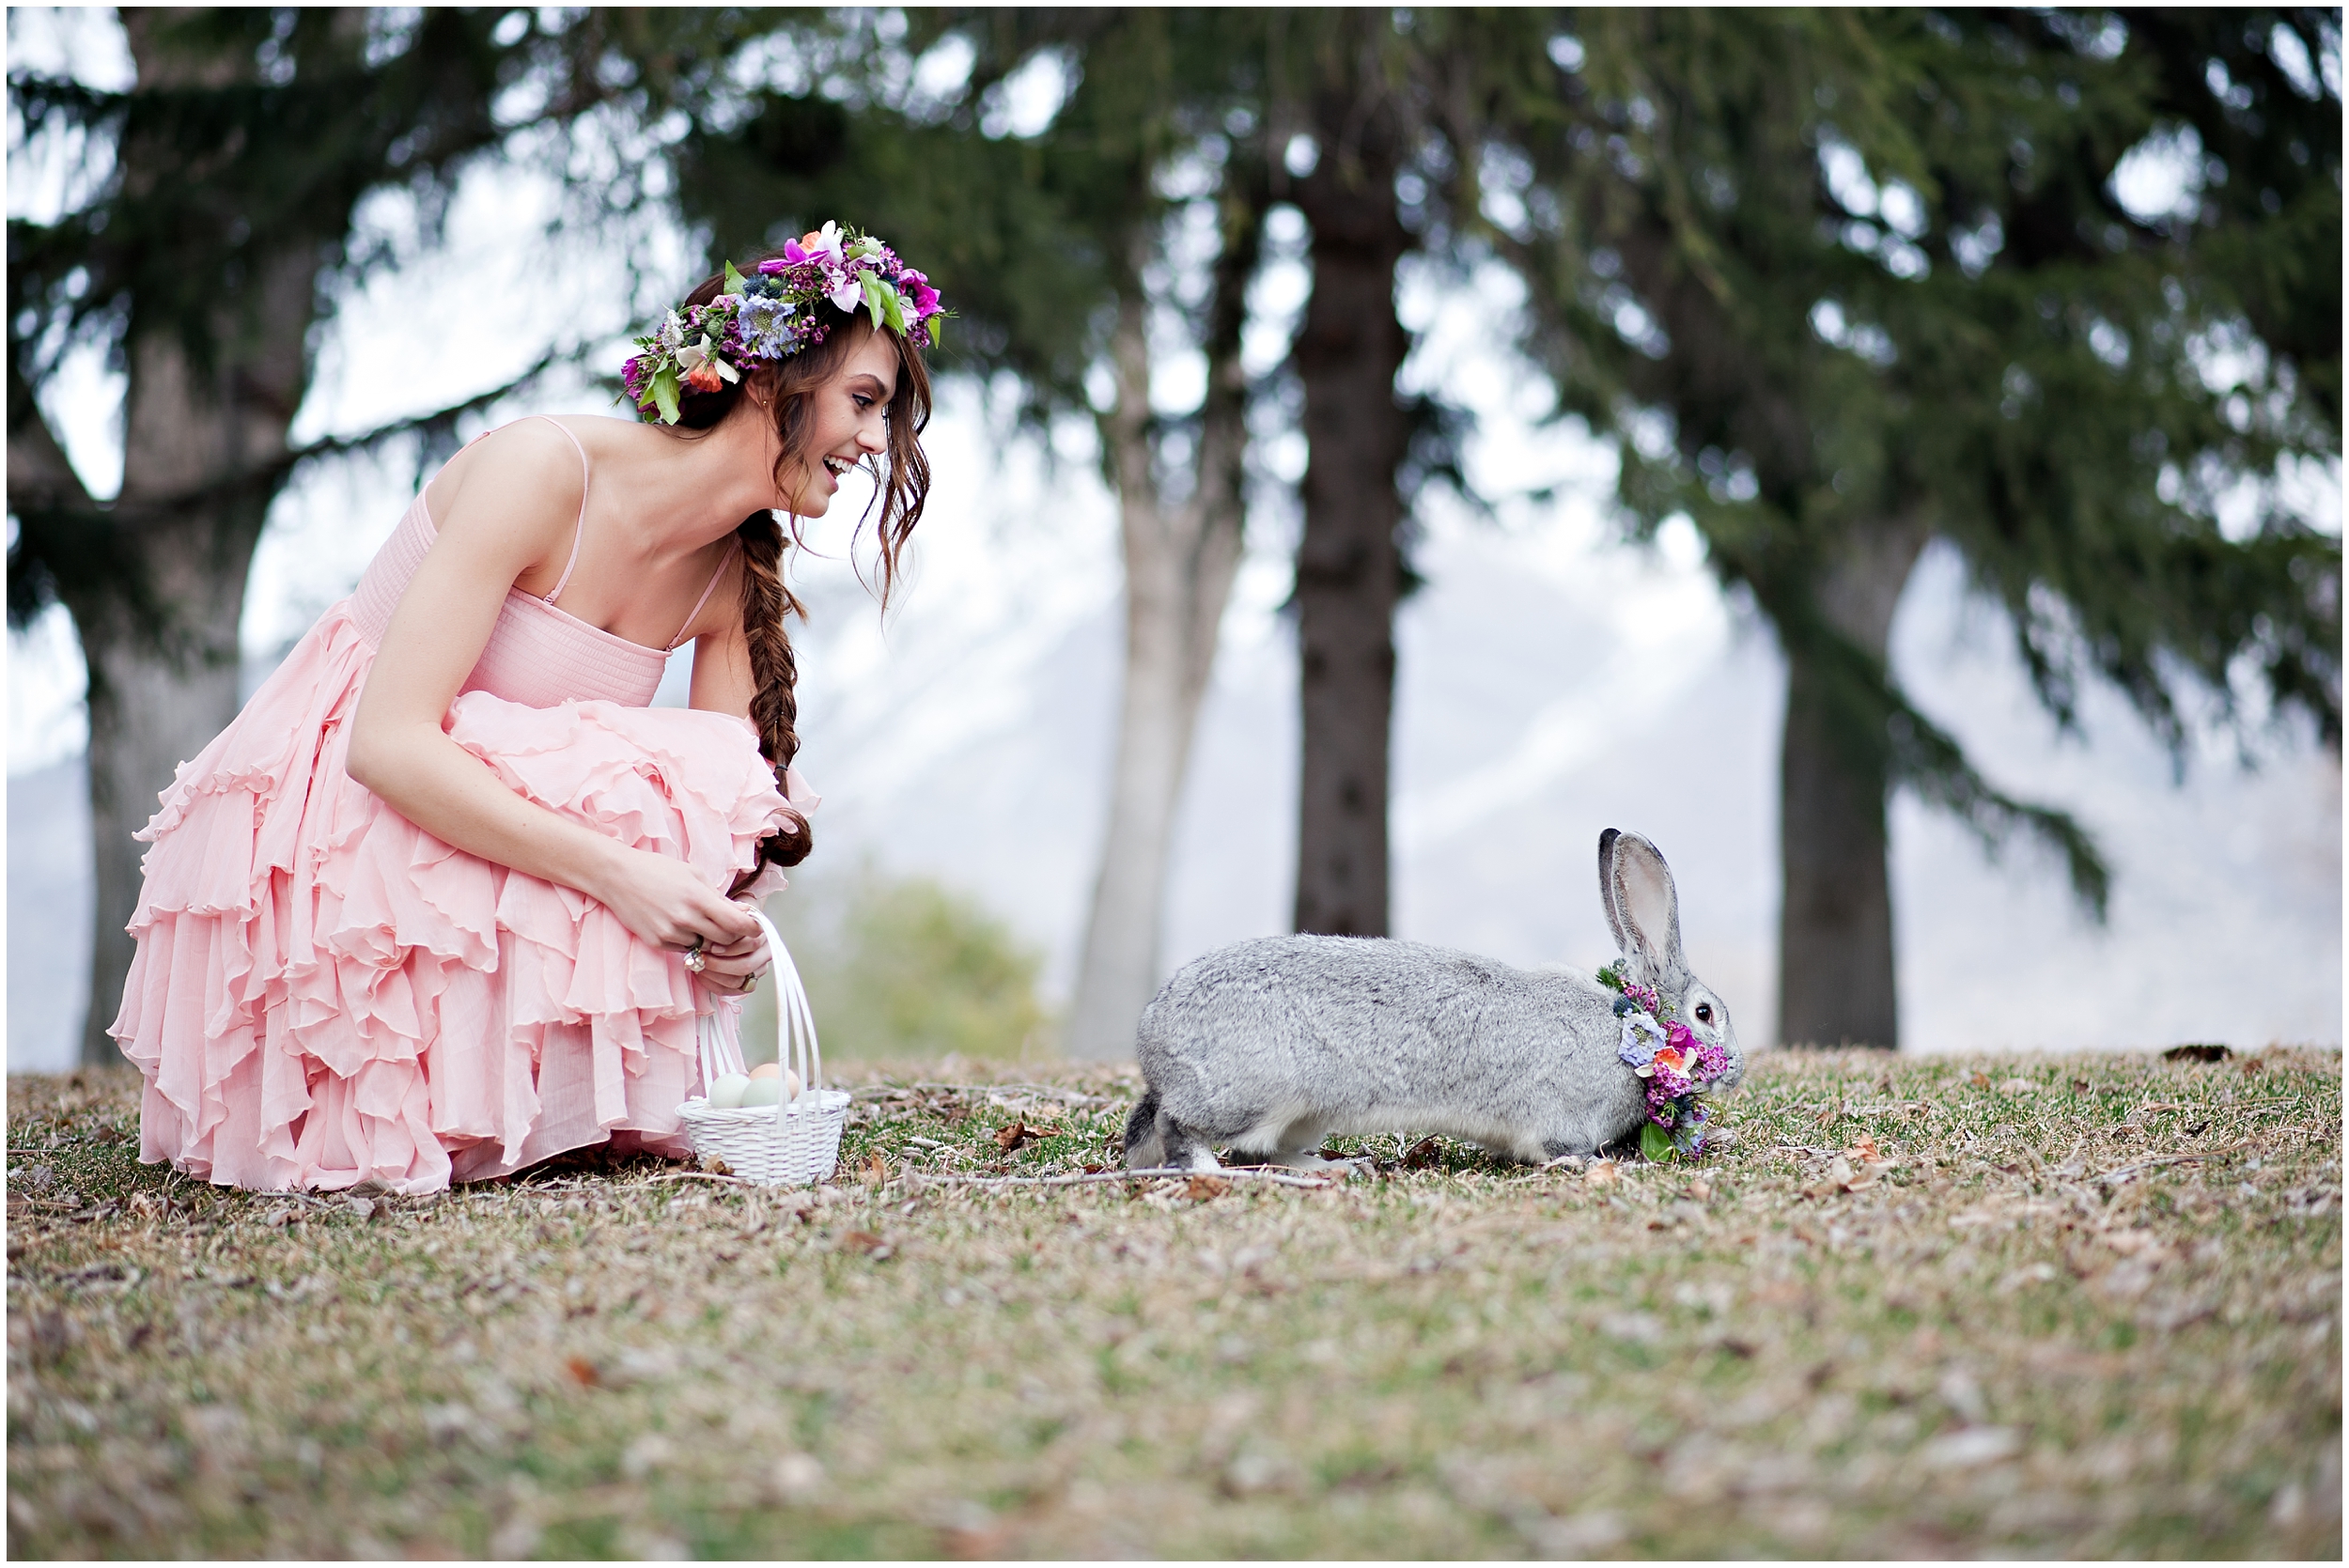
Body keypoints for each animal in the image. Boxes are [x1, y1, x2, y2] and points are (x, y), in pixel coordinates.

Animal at [1118, 826, 1748, 1169]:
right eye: (1705, 1013)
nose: (1738, 1072)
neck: (1630, 1029)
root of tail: (1153, 1044)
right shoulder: (1560, 1118)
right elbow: (1560, 1147)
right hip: (1257, 1092)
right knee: (1186, 1133)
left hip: (1306, 1113)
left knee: (1268, 1154)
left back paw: (1340, 1168)